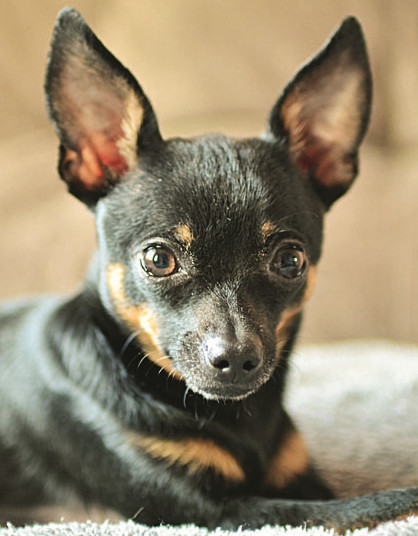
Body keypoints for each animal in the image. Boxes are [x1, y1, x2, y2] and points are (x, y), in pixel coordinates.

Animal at [0, 8, 416, 532]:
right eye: (158, 259)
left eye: (290, 261)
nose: (235, 358)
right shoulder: (207, 509)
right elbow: (374, 503)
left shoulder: (298, 479)